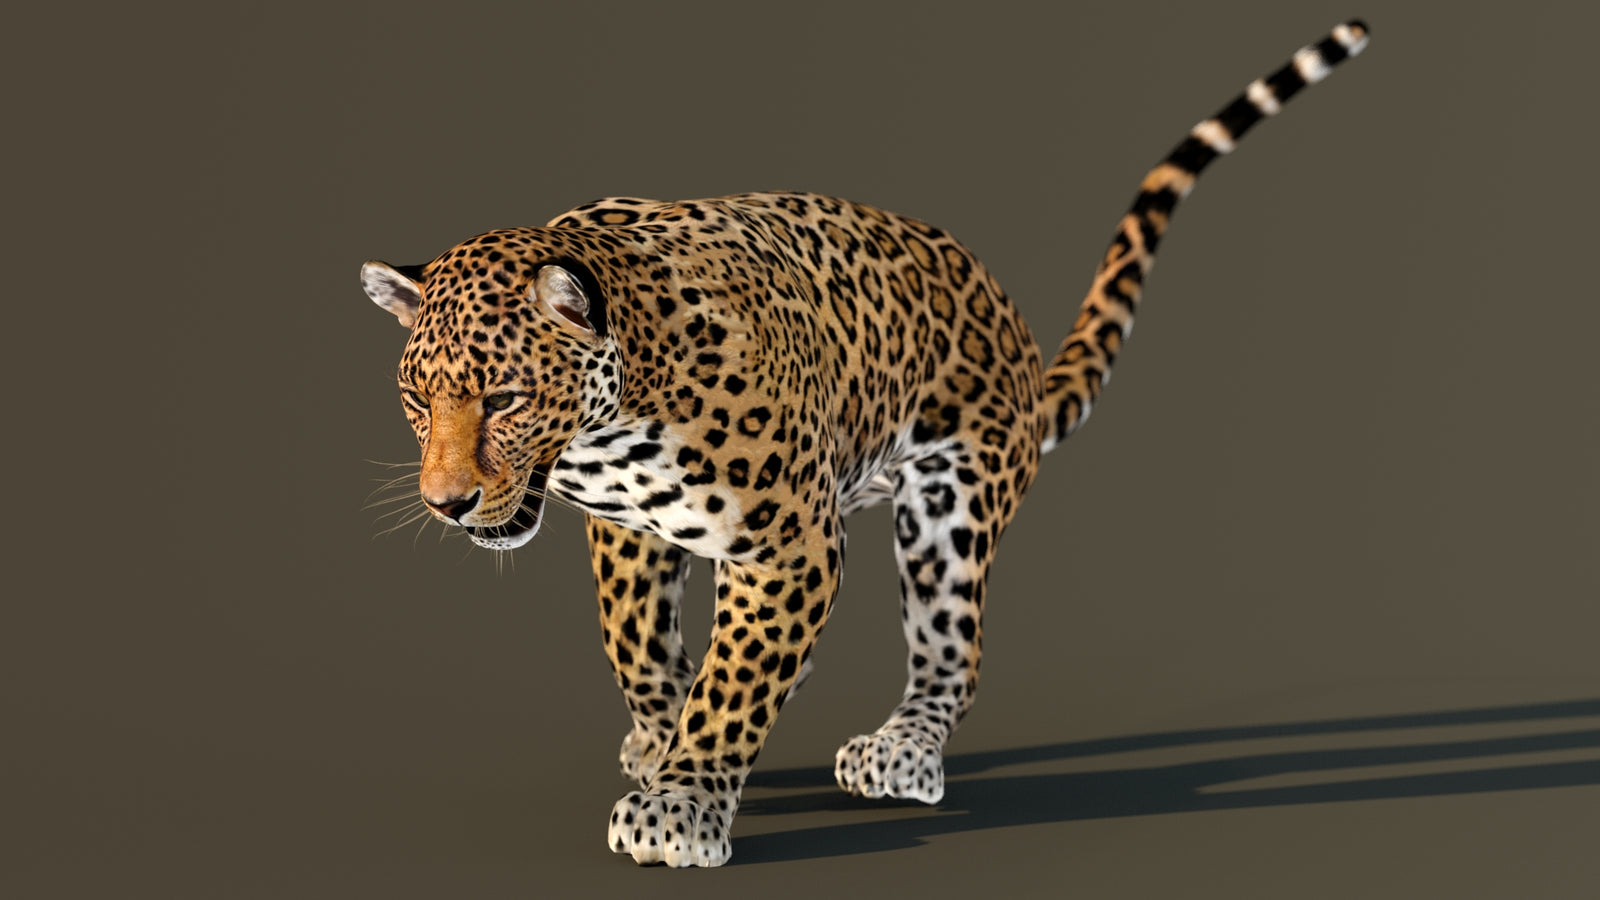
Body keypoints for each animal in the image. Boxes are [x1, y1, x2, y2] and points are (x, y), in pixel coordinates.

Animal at [360, 22, 1369, 867]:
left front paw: (681, 805)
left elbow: (733, 681)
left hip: (951, 509)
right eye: (416, 401)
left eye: (504, 399)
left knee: (952, 652)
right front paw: (660, 736)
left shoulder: (789, 542)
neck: (616, 417)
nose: (446, 503)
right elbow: (636, 641)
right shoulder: (628, 531)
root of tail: (1014, 336)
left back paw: (902, 751)